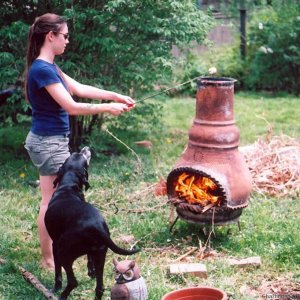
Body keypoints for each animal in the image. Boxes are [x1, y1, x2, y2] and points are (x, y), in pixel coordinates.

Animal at [44, 148, 139, 300]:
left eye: (80, 155)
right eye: (76, 154)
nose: (86, 148)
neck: (68, 187)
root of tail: (98, 227)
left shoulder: (54, 245)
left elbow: (57, 270)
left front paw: (56, 286)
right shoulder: (92, 253)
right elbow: (89, 260)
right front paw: (91, 272)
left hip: (64, 253)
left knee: (73, 281)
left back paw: (62, 295)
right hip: (101, 255)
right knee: (99, 288)